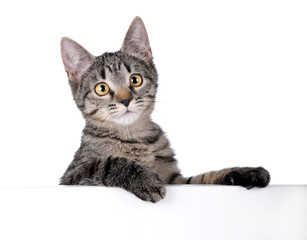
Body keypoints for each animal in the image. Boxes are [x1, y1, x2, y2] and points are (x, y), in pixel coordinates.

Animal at [59, 15, 270, 202]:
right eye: (101, 88)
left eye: (135, 79)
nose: (126, 100)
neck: (133, 136)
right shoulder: (73, 177)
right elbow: (108, 162)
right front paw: (144, 179)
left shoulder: (177, 180)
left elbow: (205, 177)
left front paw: (245, 172)